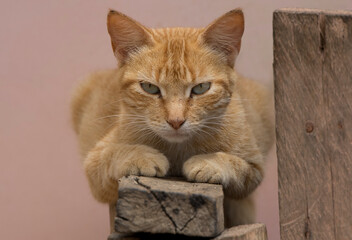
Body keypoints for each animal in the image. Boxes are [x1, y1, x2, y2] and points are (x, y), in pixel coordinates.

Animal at [71, 8, 276, 227]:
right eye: (149, 87)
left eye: (201, 88)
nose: (175, 121)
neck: (178, 150)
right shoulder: (94, 167)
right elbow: (113, 154)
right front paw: (141, 156)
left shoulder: (255, 167)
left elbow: (239, 167)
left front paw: (209, 162)